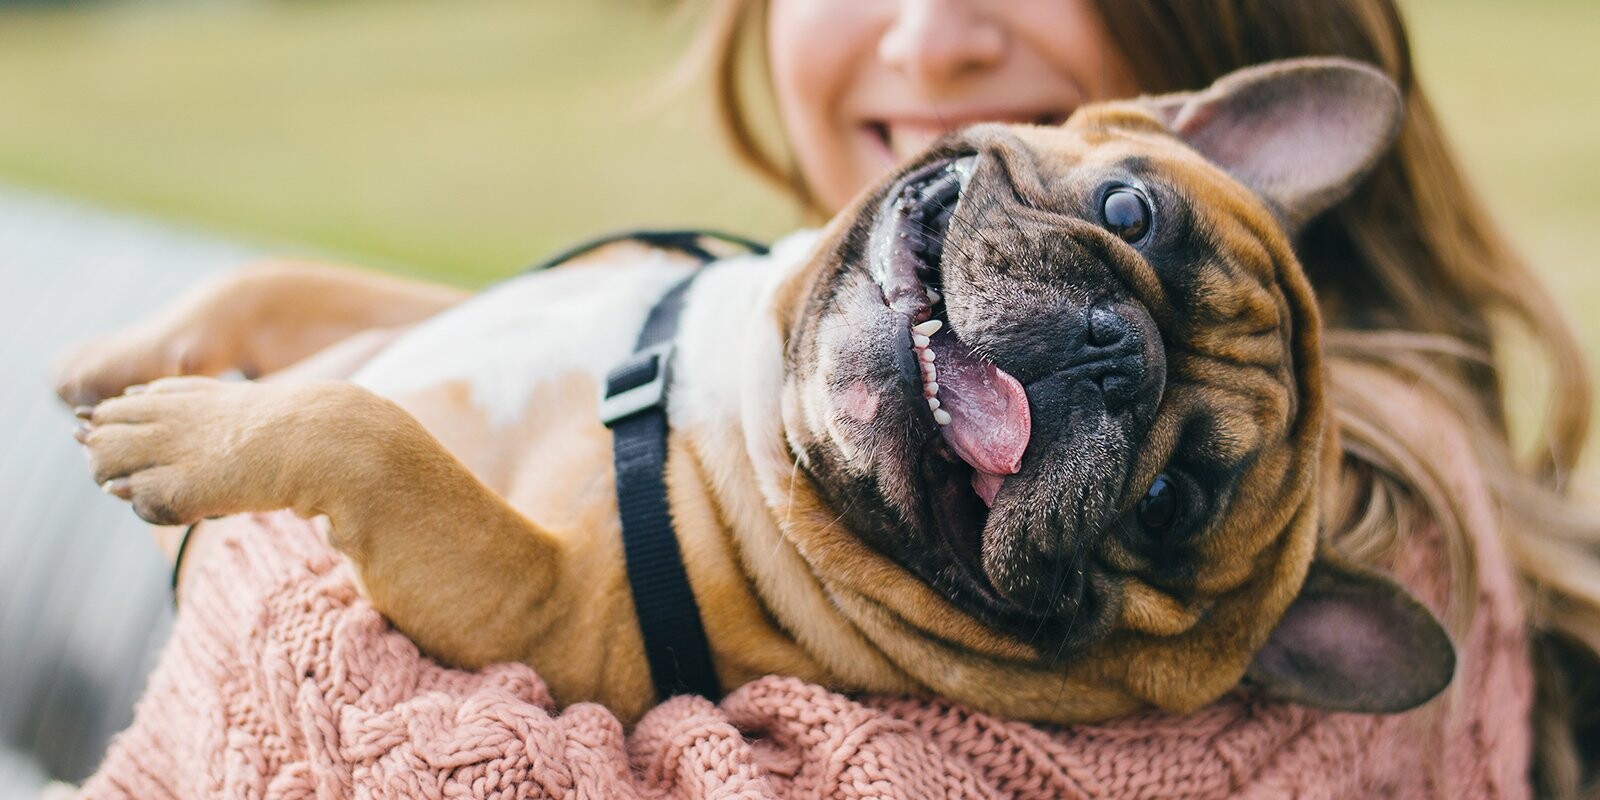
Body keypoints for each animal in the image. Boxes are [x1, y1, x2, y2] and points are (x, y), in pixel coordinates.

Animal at [59, 59, 1452, 723]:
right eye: (1128, 212)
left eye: (1167, 502)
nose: (1118, 353)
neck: (731, 389)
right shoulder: (443, 309)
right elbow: (292, 284)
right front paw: (136, 352)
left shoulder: (536, 607)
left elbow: (376, 433)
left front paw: (181, 431)